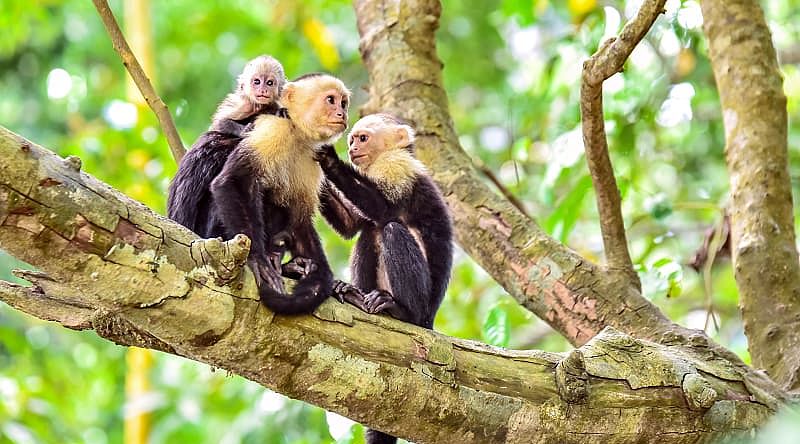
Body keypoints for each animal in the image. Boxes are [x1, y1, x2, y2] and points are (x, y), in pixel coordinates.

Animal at [209, 73, 350, 314]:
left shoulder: (313, 159)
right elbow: (233, 181)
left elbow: (299, 219)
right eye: (331, 100)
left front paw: (321, 277)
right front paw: (257, 260)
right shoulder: (273, 130)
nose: (342, 113)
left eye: (343, 103)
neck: (296, 132)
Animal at [316, 112, 454, 442]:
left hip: (422, 309)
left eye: (362, 138)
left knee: (389, 228)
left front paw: (330, 160)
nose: (351, 148)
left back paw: (400, 311)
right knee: (369, 231)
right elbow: (353, 225)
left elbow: (384, 208)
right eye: (352, 139)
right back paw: (355, 295)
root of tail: (430, 320)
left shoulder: (397, 166)